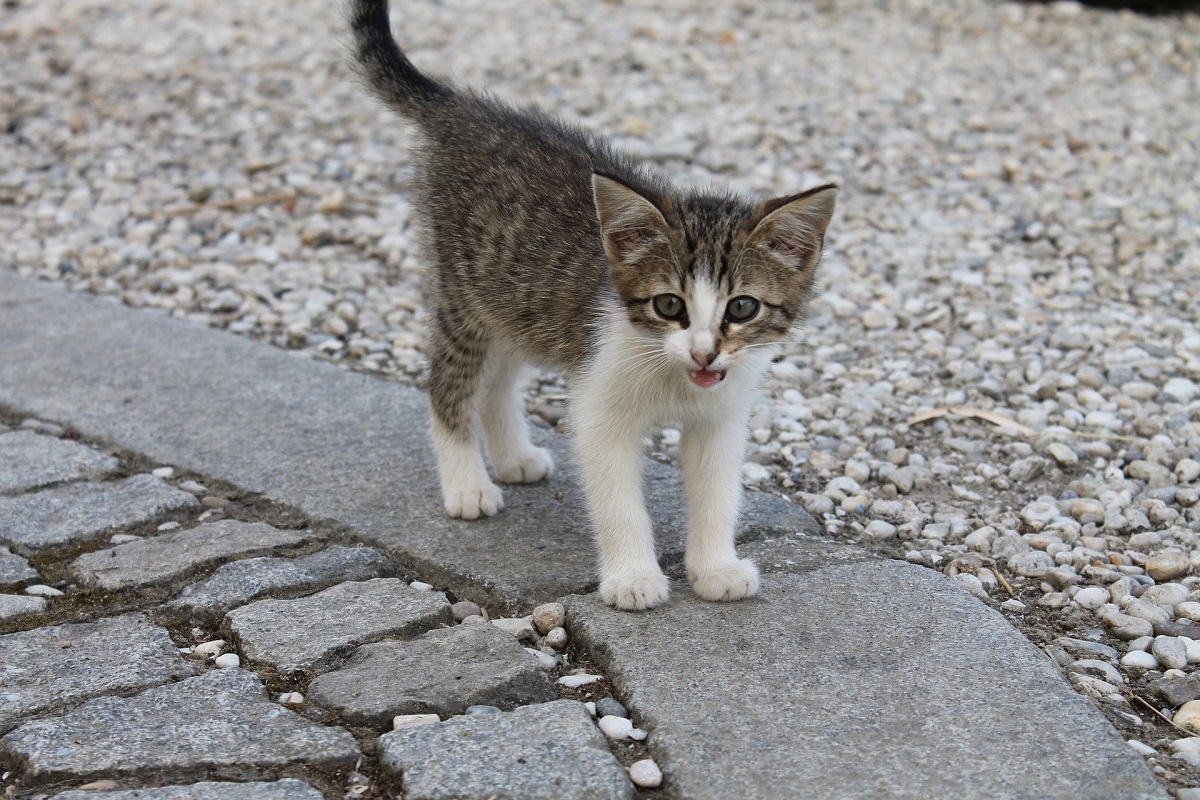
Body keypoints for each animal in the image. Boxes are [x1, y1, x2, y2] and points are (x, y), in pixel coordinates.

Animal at [348, 1, 835, 614]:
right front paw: (633, 577)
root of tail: (465, 108)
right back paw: (468, 484)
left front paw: (715, 568)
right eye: (669, 304)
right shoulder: (600, 404)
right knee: (449, 380)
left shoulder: (721, 415)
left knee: (498, 379)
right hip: (464, 291)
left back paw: (513, 456)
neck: (670, 373)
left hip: (516, 299)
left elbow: (717, 490)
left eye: (743, 307)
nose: (704, 352)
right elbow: (617, 498)